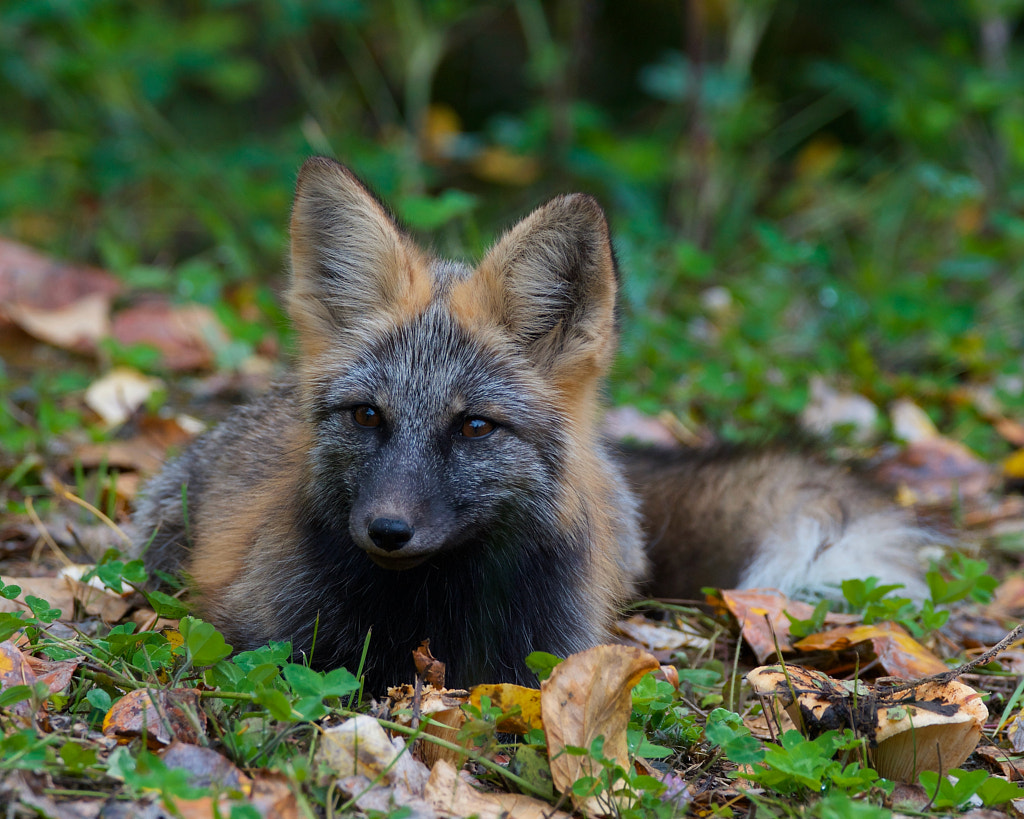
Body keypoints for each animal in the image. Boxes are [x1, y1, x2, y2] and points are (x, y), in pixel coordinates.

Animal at [134, 155, 937, 692]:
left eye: (474, 427)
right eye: (367, 415)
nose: (387, 529)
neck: (430, 610)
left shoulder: (543, 660)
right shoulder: (258, 634)